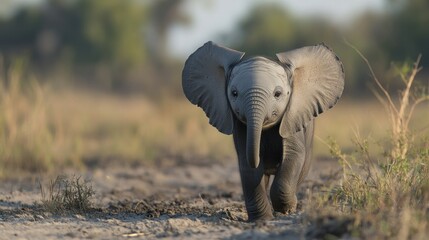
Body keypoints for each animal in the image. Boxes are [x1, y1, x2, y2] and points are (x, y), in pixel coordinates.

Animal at [181, 41, 344, 221]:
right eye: (234, 93)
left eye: (278, 94)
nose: (261, 158)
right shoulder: (240, 126)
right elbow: (248, 167)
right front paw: (262, 219)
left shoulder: (292, 117)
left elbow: (293, 156)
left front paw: (286, 209)